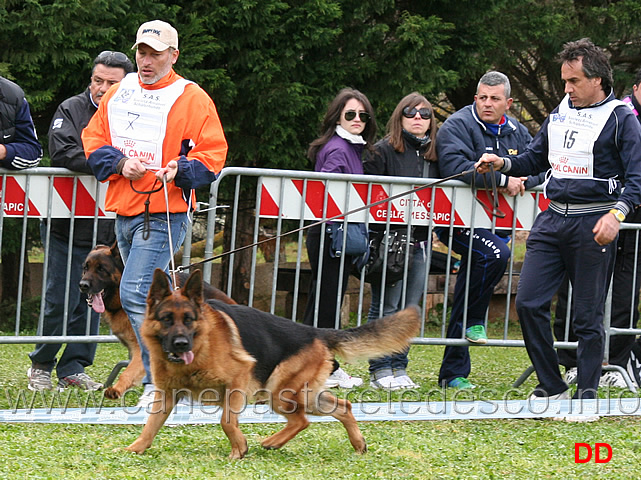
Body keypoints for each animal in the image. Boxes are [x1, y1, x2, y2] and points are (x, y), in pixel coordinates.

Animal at [126, 268, 420, 460]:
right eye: (166, 319)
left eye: (189, 319)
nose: (180, 344)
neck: (201, 346)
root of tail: (316, 332)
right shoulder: (166, 395)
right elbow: (150, 425)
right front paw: (136, 449)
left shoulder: (236, 384)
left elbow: (226, 422)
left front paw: (239, 450)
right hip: (303, 395)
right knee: (343, 407)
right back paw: (358, 444)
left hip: (279, 393)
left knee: (301, 421)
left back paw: (272, 442)